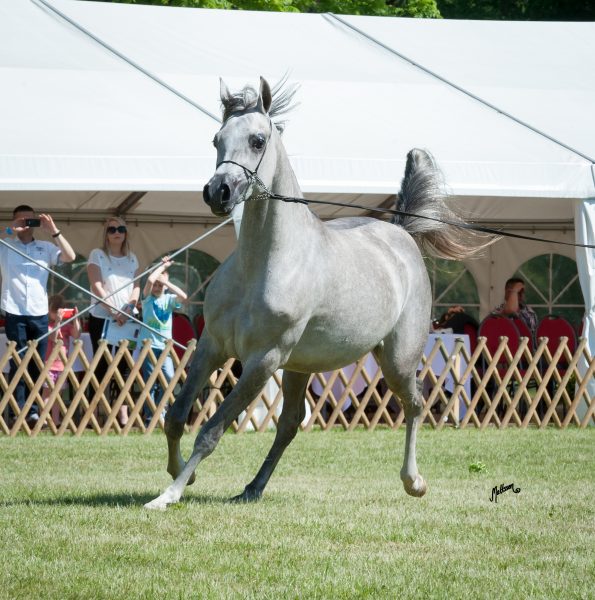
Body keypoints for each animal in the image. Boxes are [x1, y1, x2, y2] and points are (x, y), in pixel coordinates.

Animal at [146, 77, 488, 510]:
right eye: (216, 139)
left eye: (258, 140)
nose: (217, 192)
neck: (264, 264)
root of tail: (400, 233)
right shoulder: (213, 347)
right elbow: (176, 415)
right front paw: (181, 476)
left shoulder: (262, 360)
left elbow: (211, 430)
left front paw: (169, 495)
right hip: (299, 367)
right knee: (290, 424)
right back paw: (253, 487)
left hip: (396, 360)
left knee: (414, 404)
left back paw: (414, 481)